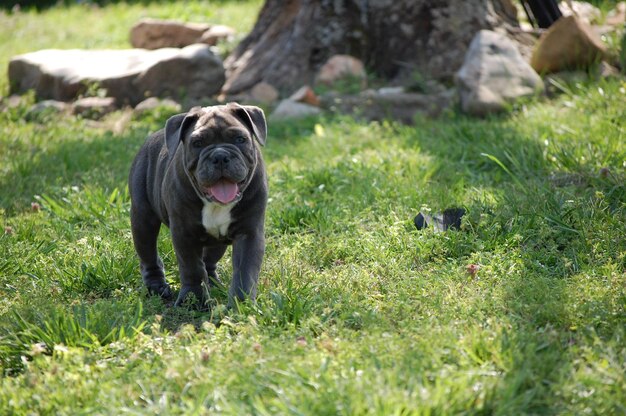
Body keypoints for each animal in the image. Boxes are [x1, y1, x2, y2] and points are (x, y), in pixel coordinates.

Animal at [130, 102, 266, 308]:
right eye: (197, 143)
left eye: (240, 139)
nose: (220, 156)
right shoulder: (184, 233)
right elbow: (191, 267)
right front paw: (193, 299)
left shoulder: (249, 232)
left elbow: (245, 271)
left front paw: (241, 304)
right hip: (142, 220)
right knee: (148, 255)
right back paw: (157, 287)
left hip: (217, 241)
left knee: (209, 260)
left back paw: (214, 284)